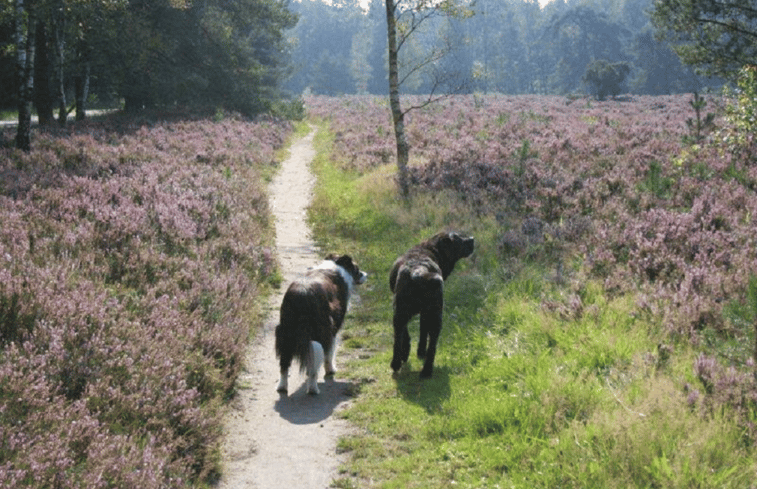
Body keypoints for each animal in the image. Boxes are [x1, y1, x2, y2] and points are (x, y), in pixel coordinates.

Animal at [274, 254, 366, 394]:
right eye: (357, 269)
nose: (366, 274)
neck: (337, 265)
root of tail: (302, 295)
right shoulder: (333, 329)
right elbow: (330, 353)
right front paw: (331, 370)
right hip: (321, 331)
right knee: (313, 364)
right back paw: (313, 389)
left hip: (285, 334)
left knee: (284, 364)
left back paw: (282, 387)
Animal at [390, 232, 472, 378]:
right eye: (459, 239)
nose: (472, 239)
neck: (431, 248)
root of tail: (419, 271)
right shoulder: (422, 313)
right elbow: (422, 333)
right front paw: (419, 352)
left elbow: (407, 334)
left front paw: (407, 352)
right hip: (435, 315)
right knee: (433, 344)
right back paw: (427, 370)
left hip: (402, 313)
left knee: (398, 338)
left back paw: (397, 364)